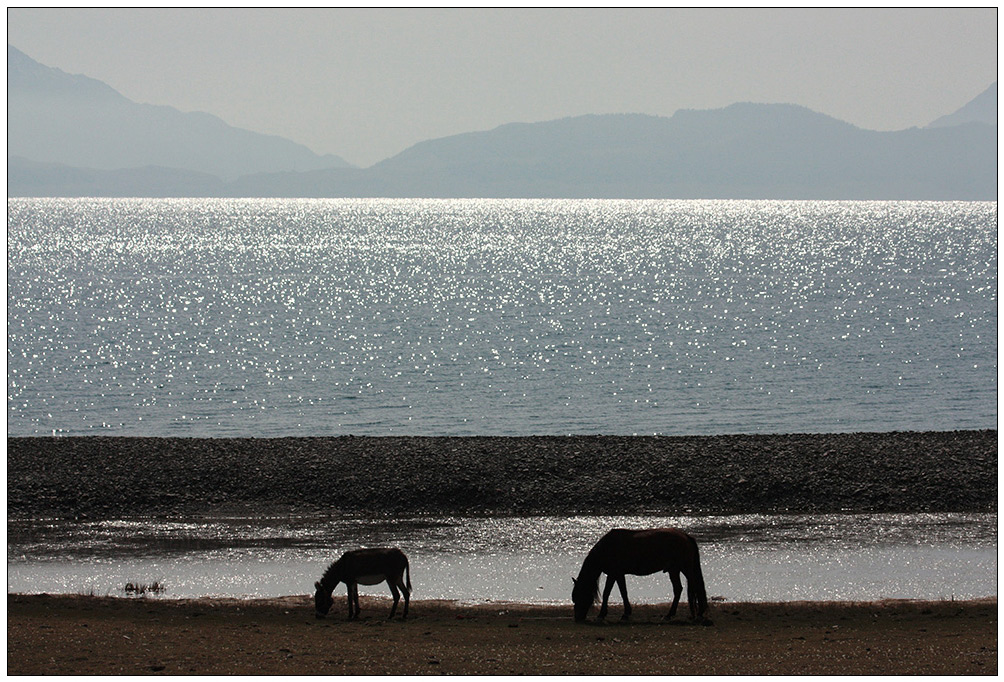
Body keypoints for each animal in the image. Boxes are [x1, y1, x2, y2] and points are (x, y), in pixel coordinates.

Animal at [574, 526, 706, 622]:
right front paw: (626, 613)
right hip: (674, 570)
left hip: (684, 568)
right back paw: (671, 614)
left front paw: (602, 615)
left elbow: (607, 593)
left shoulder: (613, 574)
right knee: (679, 589)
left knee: (693, 587)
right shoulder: (619, 574)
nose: (577, 618)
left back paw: (694, 614)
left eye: (579, 595)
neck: (607, 548)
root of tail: (686, 536)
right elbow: (623, 592)